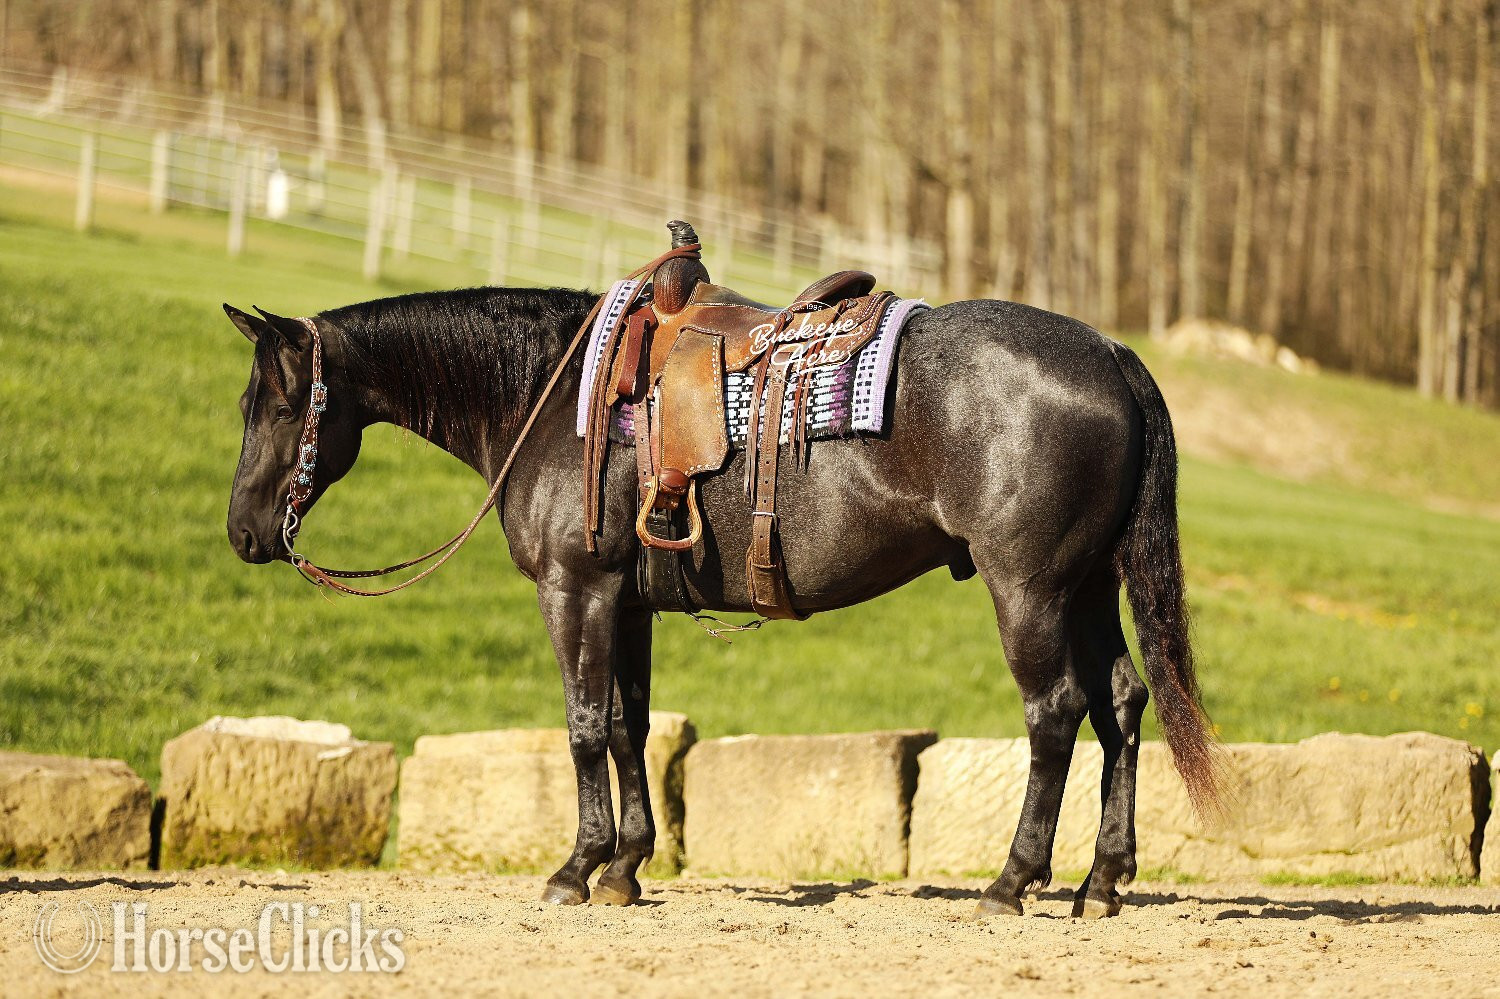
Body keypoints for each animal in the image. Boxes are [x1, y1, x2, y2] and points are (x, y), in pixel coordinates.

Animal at [222, 282, 1219, 919]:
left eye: (276, 404)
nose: (243, 532)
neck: (552, 395)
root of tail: (1111, 355)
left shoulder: (574, 591)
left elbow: (582, 724)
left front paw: (576, 866)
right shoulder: (625, 603)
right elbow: (629, 725)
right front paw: (626, 866)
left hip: (1030, 589)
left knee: (1055, 714)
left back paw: (1012, 883)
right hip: (1088, 587)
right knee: (1122, 705)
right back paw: (1102, 882)